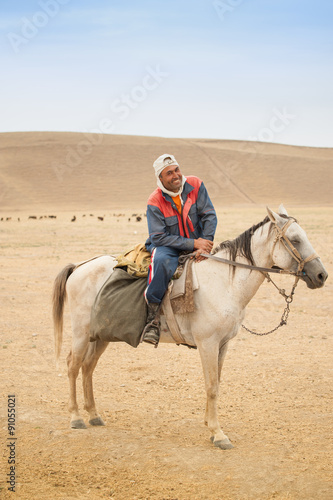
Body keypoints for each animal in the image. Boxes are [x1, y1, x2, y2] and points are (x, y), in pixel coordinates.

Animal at [52, 206, 326, 450]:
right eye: (295, 239)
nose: (322, 275)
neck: (225, 282)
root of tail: (79, 266)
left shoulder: (223, 344)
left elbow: (216, 382)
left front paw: (209, 424)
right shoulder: (208, 343)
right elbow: (212, 386)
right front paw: (218, 434)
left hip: (101, 335)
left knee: (88, 367)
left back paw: (94, 414)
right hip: (81, 332)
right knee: (73, 365)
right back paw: (76, 417)